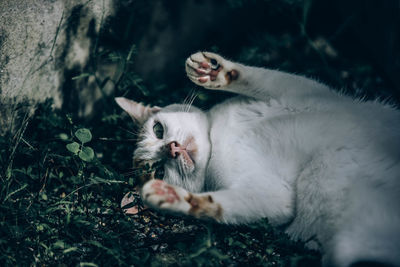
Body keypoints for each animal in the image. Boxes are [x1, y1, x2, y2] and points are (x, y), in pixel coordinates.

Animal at [114, 51, 398, 266]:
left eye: (158, 130)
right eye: (159, 171)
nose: (171, 149)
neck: (218, 138)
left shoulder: (307, 93)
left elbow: (265, 77)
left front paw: (213, 72)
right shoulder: (274, 196)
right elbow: (221, 205)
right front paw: (174, 197)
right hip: (346, 243)